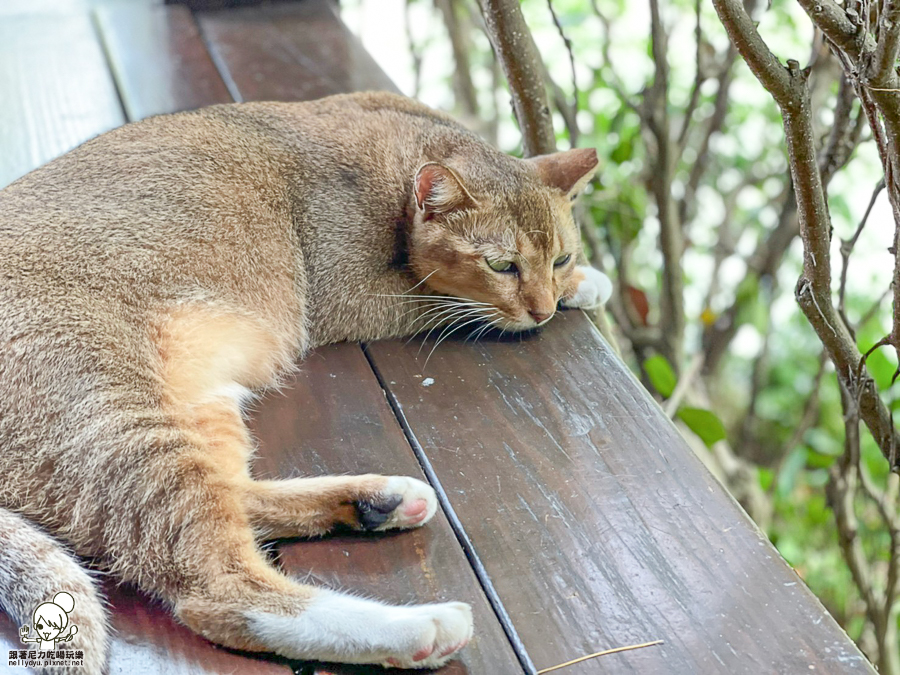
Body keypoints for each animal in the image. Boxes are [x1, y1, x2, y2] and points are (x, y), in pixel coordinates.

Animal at [0, 90, 612, 672]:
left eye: (559, 257)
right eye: (502, 265)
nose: (543, 310)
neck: (406, 151)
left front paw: (579, 284)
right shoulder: (357, 298)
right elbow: (454, 307)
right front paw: (582, 286)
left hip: (196, 404)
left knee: (232, 493)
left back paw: (376, 501)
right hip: (113, 413)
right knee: (220, 590)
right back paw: (415, 628)